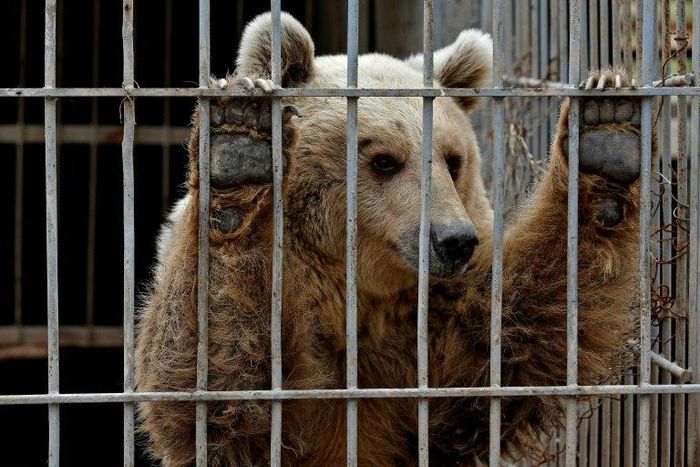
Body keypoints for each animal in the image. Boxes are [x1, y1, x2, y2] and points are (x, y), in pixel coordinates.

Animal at [135, 12, 645, 466]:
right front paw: (242, 145)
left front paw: (605, 133)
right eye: (383, 160)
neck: (359, 302)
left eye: (452, 159)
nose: (454, 240)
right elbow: (223, 376)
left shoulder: (434, 350)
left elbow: (521, 329)